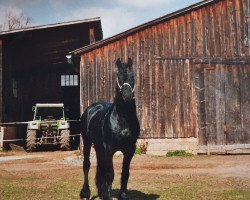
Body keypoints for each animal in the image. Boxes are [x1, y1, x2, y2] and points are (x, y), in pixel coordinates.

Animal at [79, 57, 140, 200]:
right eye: (118, 75)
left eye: (132, 76)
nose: (127, 96)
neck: (122, 119)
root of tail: (92, 108)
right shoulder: (109, 148)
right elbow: (109, 173)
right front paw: (108, 196)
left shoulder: (130, 149)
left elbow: (125, 173)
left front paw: (122, 195)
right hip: (87, 142)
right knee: (86, 165)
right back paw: (86, 193)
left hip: (98, 146)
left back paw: (101, 191)